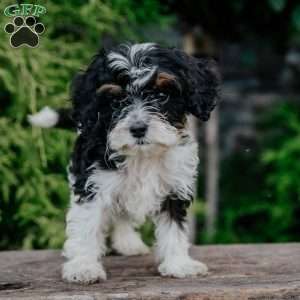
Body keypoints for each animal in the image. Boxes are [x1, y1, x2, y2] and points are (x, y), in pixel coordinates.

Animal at [29, 42, 219, 284]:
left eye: (161, 95)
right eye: (116, 101)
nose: (138, 129)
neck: (142, 155)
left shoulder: (174, 186)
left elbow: (174, 225)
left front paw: (179, 264)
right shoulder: (93, 182)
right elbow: (87, 222)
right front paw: (83, 266)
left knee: (122, 214)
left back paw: (128, 243)